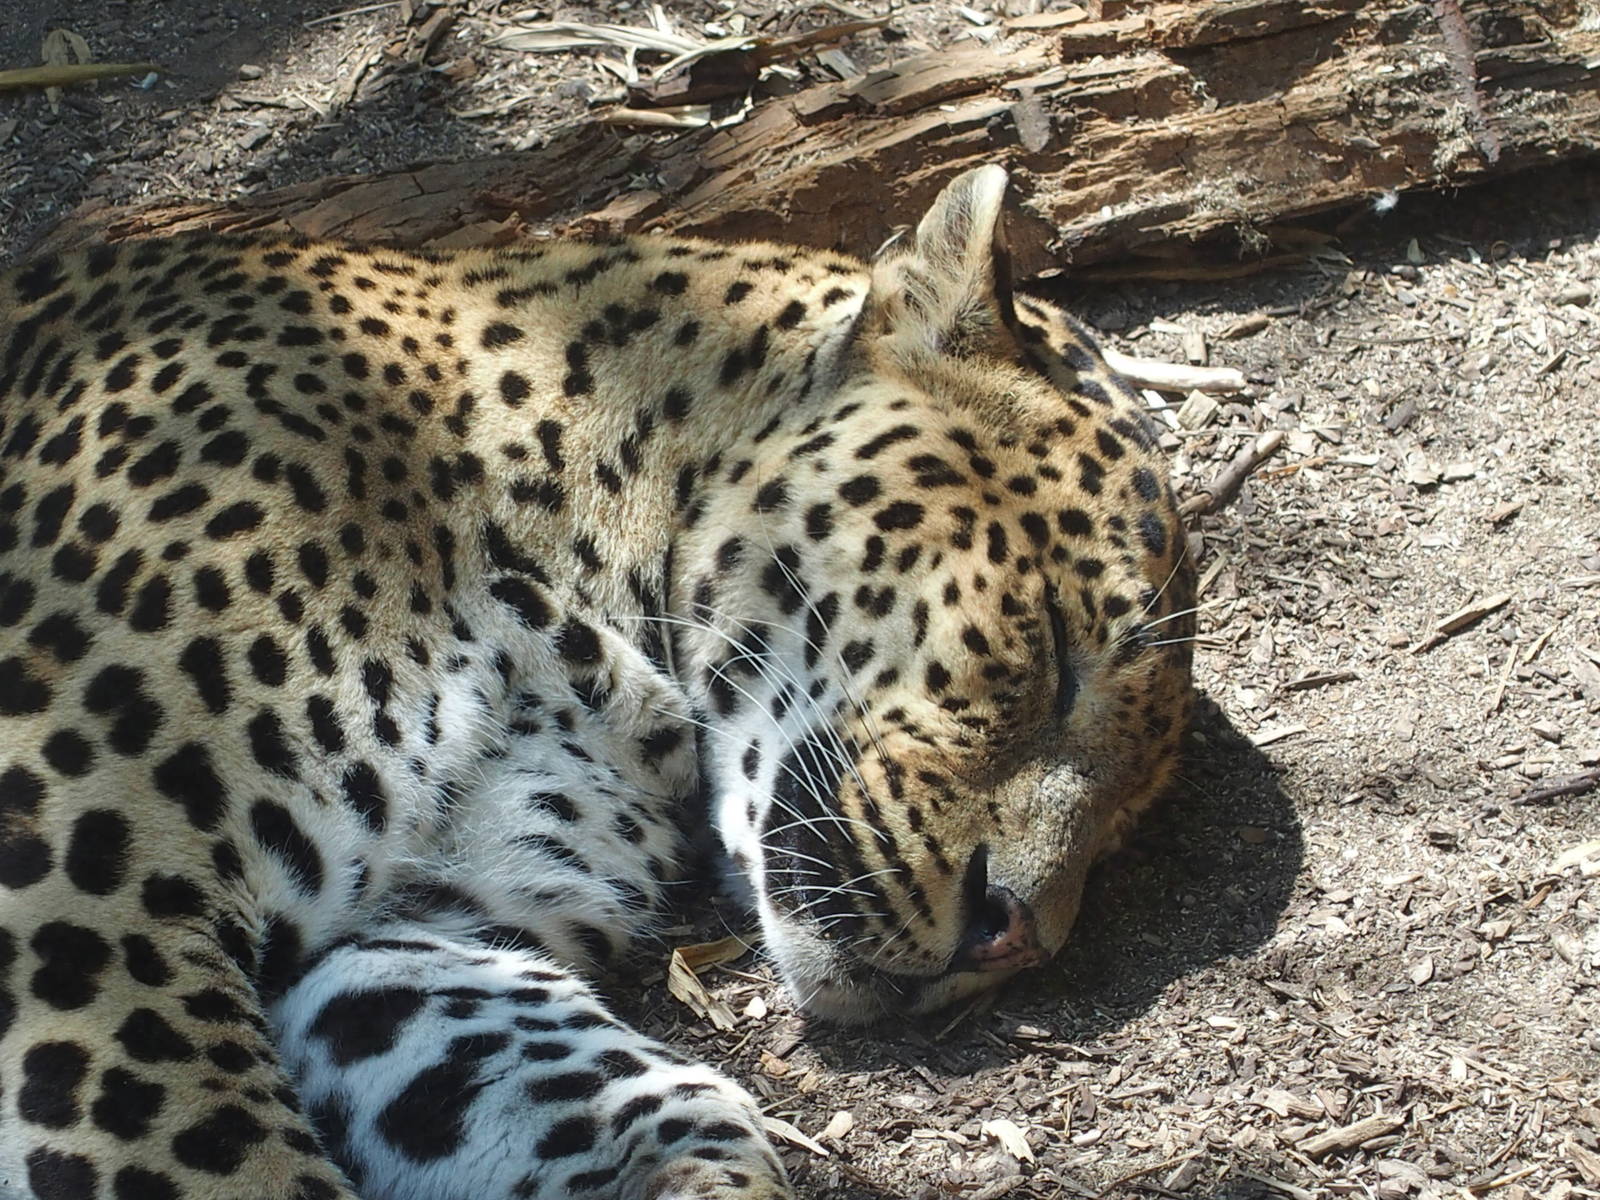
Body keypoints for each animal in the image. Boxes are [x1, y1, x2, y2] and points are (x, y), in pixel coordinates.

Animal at [0, 165, 1194, 1200]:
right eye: (1055, 652)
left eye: (1127, 821)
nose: (1013, 936)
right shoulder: (88, 894)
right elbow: (209, 1150)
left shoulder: (399, 930)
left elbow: (563, 1083)